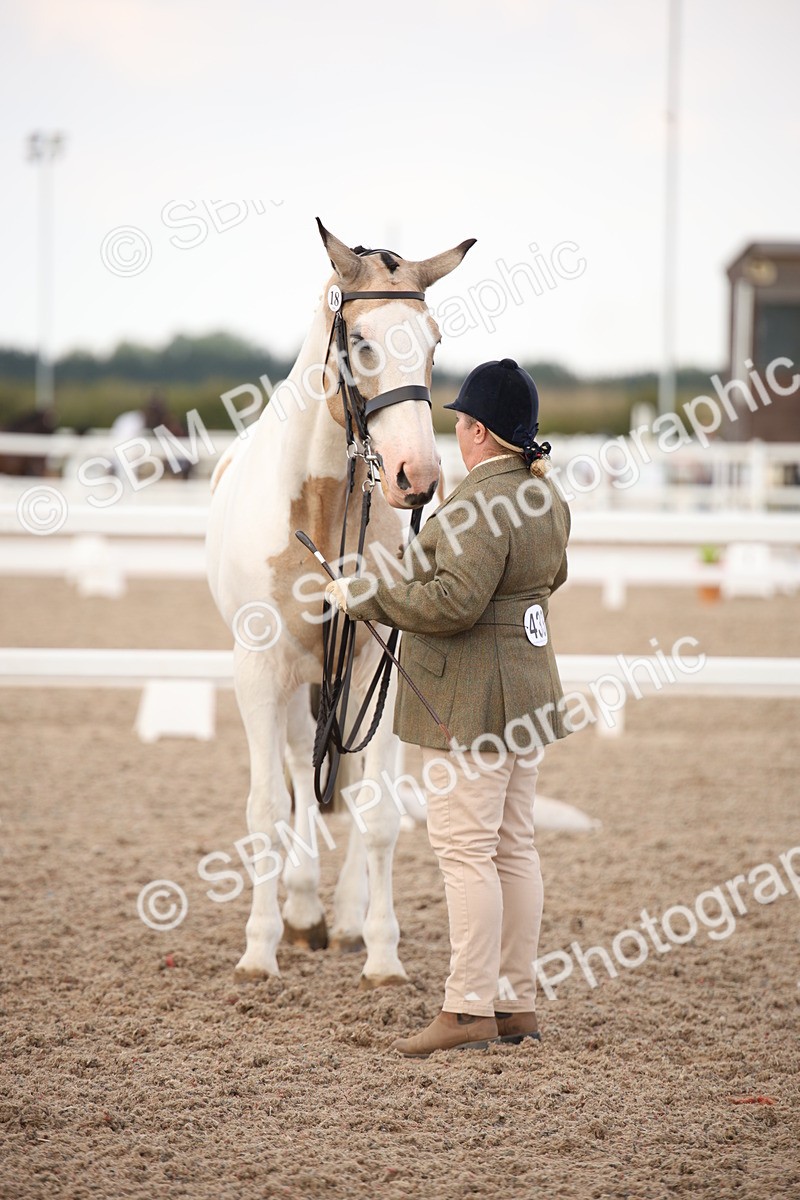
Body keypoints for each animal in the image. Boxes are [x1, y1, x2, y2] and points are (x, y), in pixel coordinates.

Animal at [206, 220, 475, 985]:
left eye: (434, 341)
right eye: (360, 341)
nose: (419, 477)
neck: (321, 509)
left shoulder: (374, 664)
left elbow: (378, 815)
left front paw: (383, 955)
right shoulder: (259, 670)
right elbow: (267, 809)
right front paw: (259, 951)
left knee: (353, 790)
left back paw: (349, 920)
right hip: (301, 679)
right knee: (303, 764)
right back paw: (301, 913)